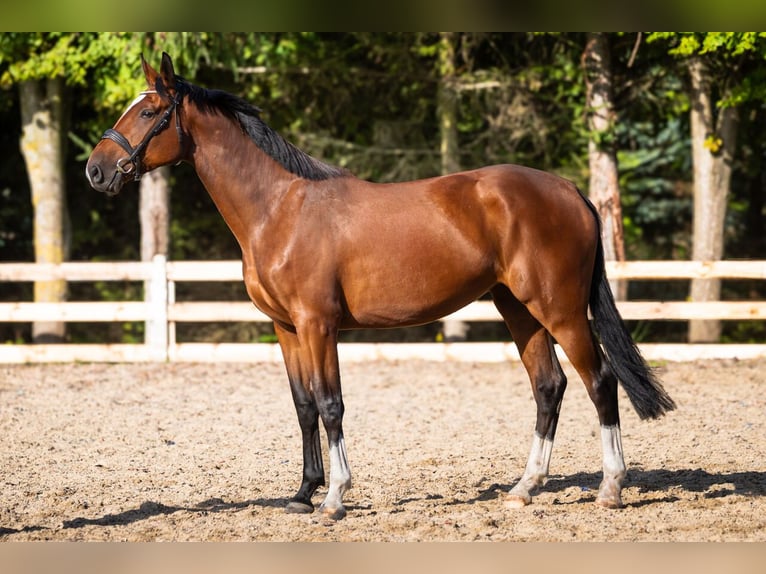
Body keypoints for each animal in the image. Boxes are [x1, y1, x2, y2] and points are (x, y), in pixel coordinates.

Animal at [86, 52, 675, 520]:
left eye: (147, 112)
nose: (96, 170)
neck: (279, 209)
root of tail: (569, 190)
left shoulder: (318, 325)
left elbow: (330, 404)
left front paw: (334, 498)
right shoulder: (285, 328)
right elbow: (303, 405)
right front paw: (302, 493)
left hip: (561, 309)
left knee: (600, 380)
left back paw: (611, 487)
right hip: (518, 309)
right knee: (549, 386)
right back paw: (524, 488)